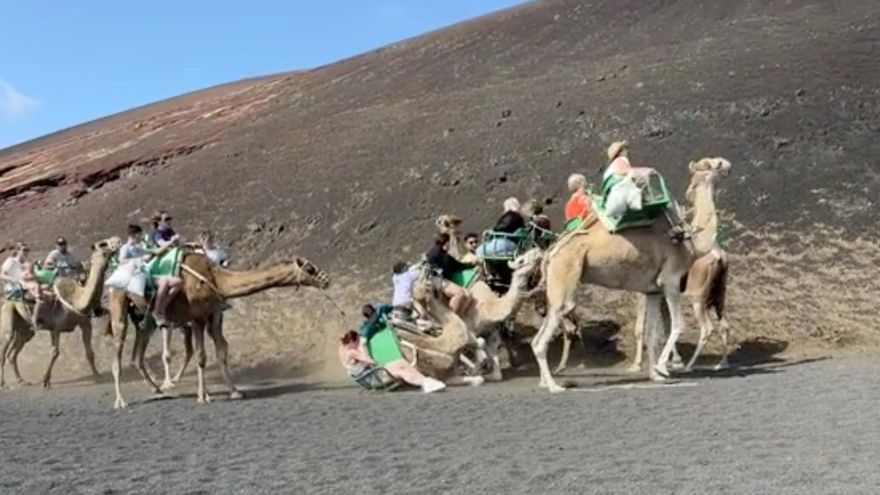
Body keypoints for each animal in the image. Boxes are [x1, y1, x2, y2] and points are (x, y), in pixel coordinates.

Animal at [0, 236, 122, 389]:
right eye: (103, 244)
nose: (117, 240)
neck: (76, 300)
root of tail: (7, 296)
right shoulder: (55, 328)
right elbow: (55, 352)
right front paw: (45, 381)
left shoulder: (85, 323)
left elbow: (89, 352)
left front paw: (97, 375)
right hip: (8, 315)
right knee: (5, 346)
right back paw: (4, 384)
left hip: (25, 328)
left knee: (14, 352)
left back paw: (22, 380)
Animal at [106, 253, 331, 409]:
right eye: (309, 268)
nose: (326, 279)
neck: (216, 279)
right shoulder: (197, 318)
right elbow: (202, 356)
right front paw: (203, 396)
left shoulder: (214, 316)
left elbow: (222, 350)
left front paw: (235, 392)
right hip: (119, 304)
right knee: (117, 355)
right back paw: (120, 401)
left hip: (144, 318)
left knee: (138, 355)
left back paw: (158, 390)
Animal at [531, 157, 731, 392]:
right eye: (711, 165)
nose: (726, 164)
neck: (690, 243)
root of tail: (551, 252)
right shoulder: (670, 281)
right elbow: (676, 325)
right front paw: (662, 368)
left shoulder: (652, 291)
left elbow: (653, 334)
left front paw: (655, 375)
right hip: (564, 277)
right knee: (543, 338)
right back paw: (554, 386)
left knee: (538, 337)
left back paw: (545, 382)